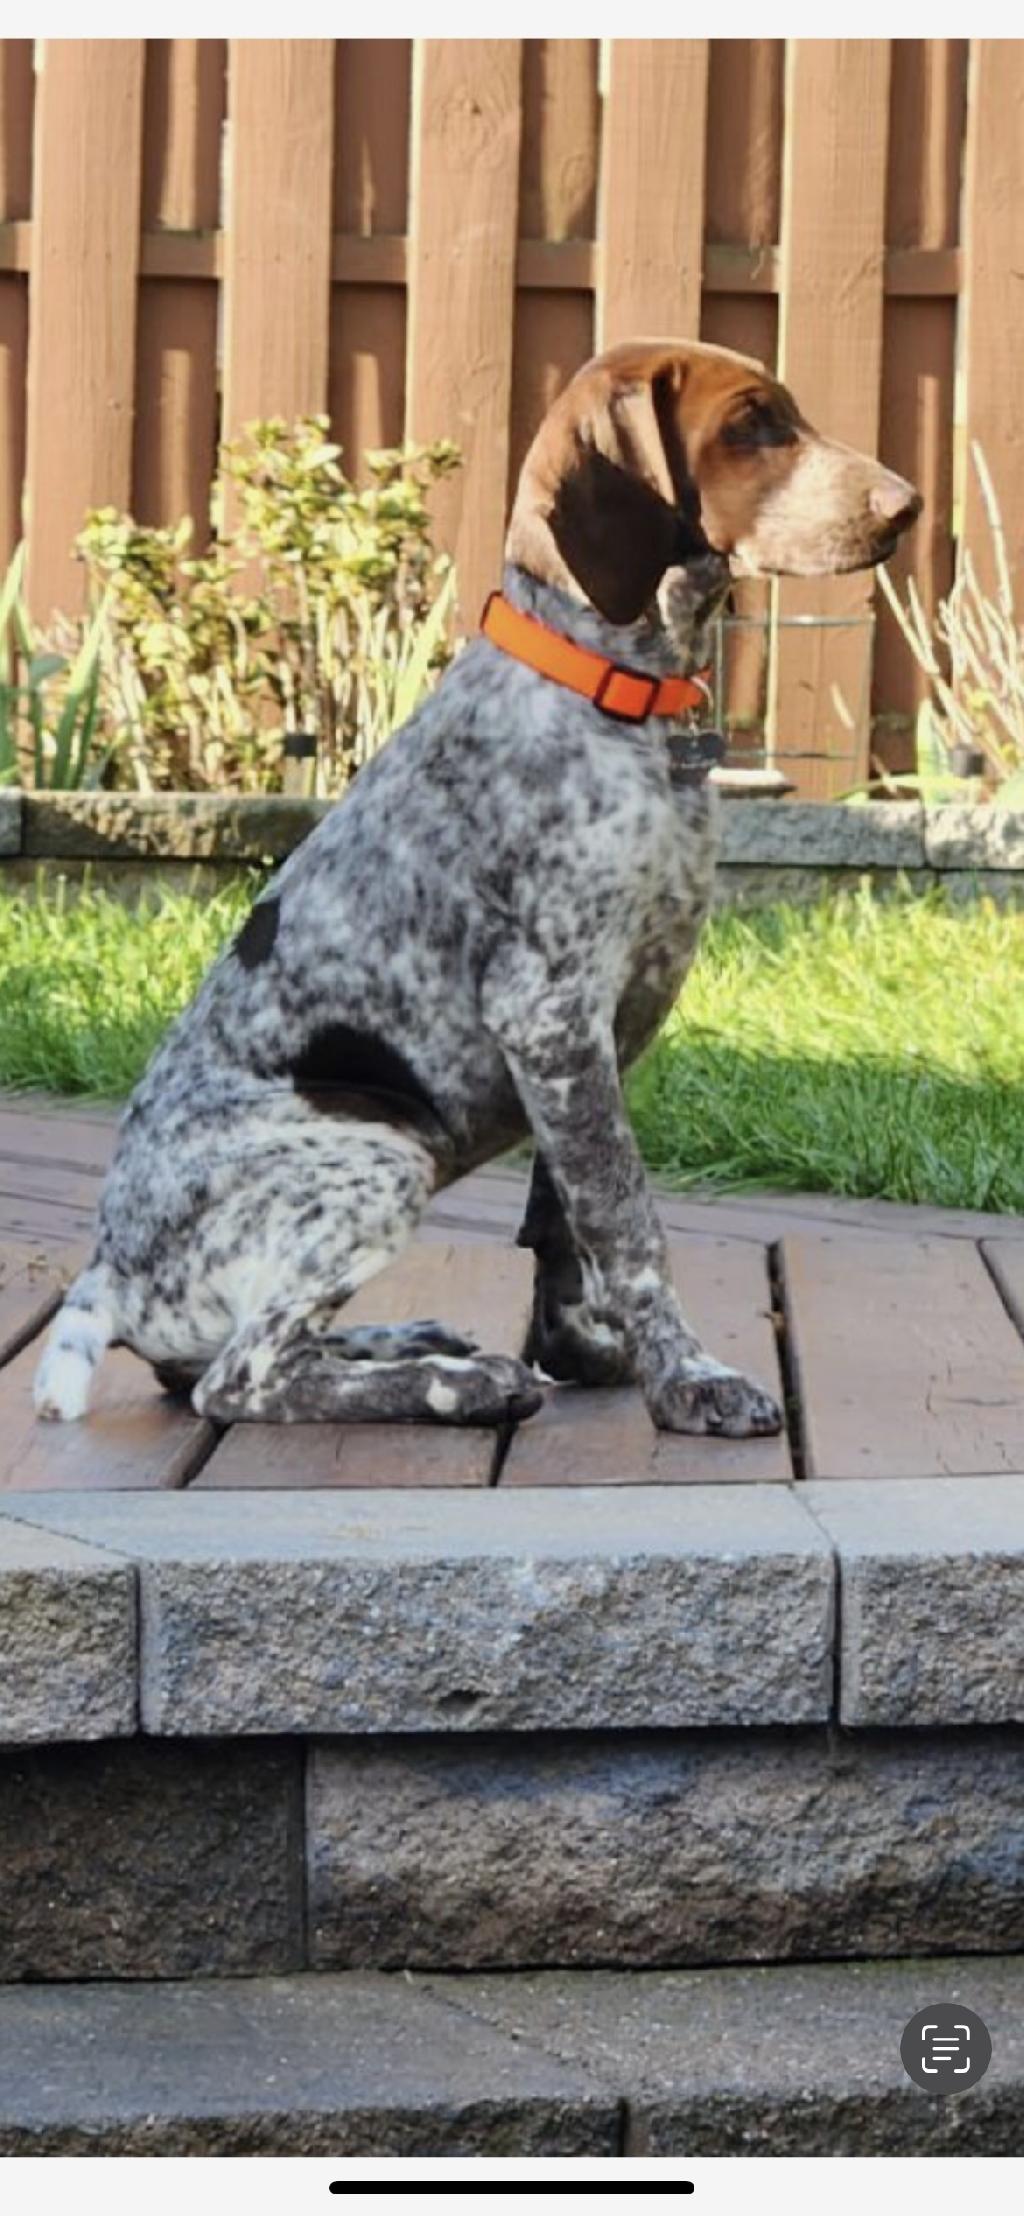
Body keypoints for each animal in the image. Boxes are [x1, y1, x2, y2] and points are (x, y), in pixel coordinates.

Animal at [36, 334, 922, 1427]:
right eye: (754, 425)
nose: (906, 504)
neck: (608, 693)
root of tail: (107, 1271)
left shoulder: (596, 1034)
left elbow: (561, 1219)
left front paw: (585, 1351)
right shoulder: (549, 1012)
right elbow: (624, 1220)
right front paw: (687, 1377)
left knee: (218, 1359)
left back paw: (405, 1338)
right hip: (379, 1152)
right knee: (240, 1378)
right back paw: (455, 1384)